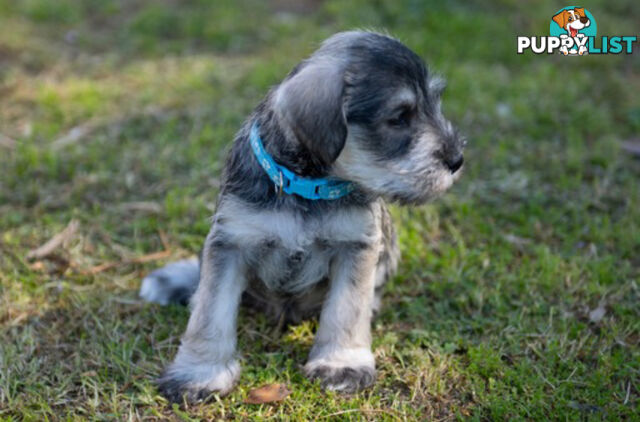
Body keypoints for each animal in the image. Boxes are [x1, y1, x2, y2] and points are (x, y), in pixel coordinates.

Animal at [139, 30, 464, 402]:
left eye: (434, 103)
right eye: (399, 117)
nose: (457, 159)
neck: (308, 185)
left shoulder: (355, 246)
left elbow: (346, 309)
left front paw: (342, 365)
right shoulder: (231, 242)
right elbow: (211, 312)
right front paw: (198, 374)